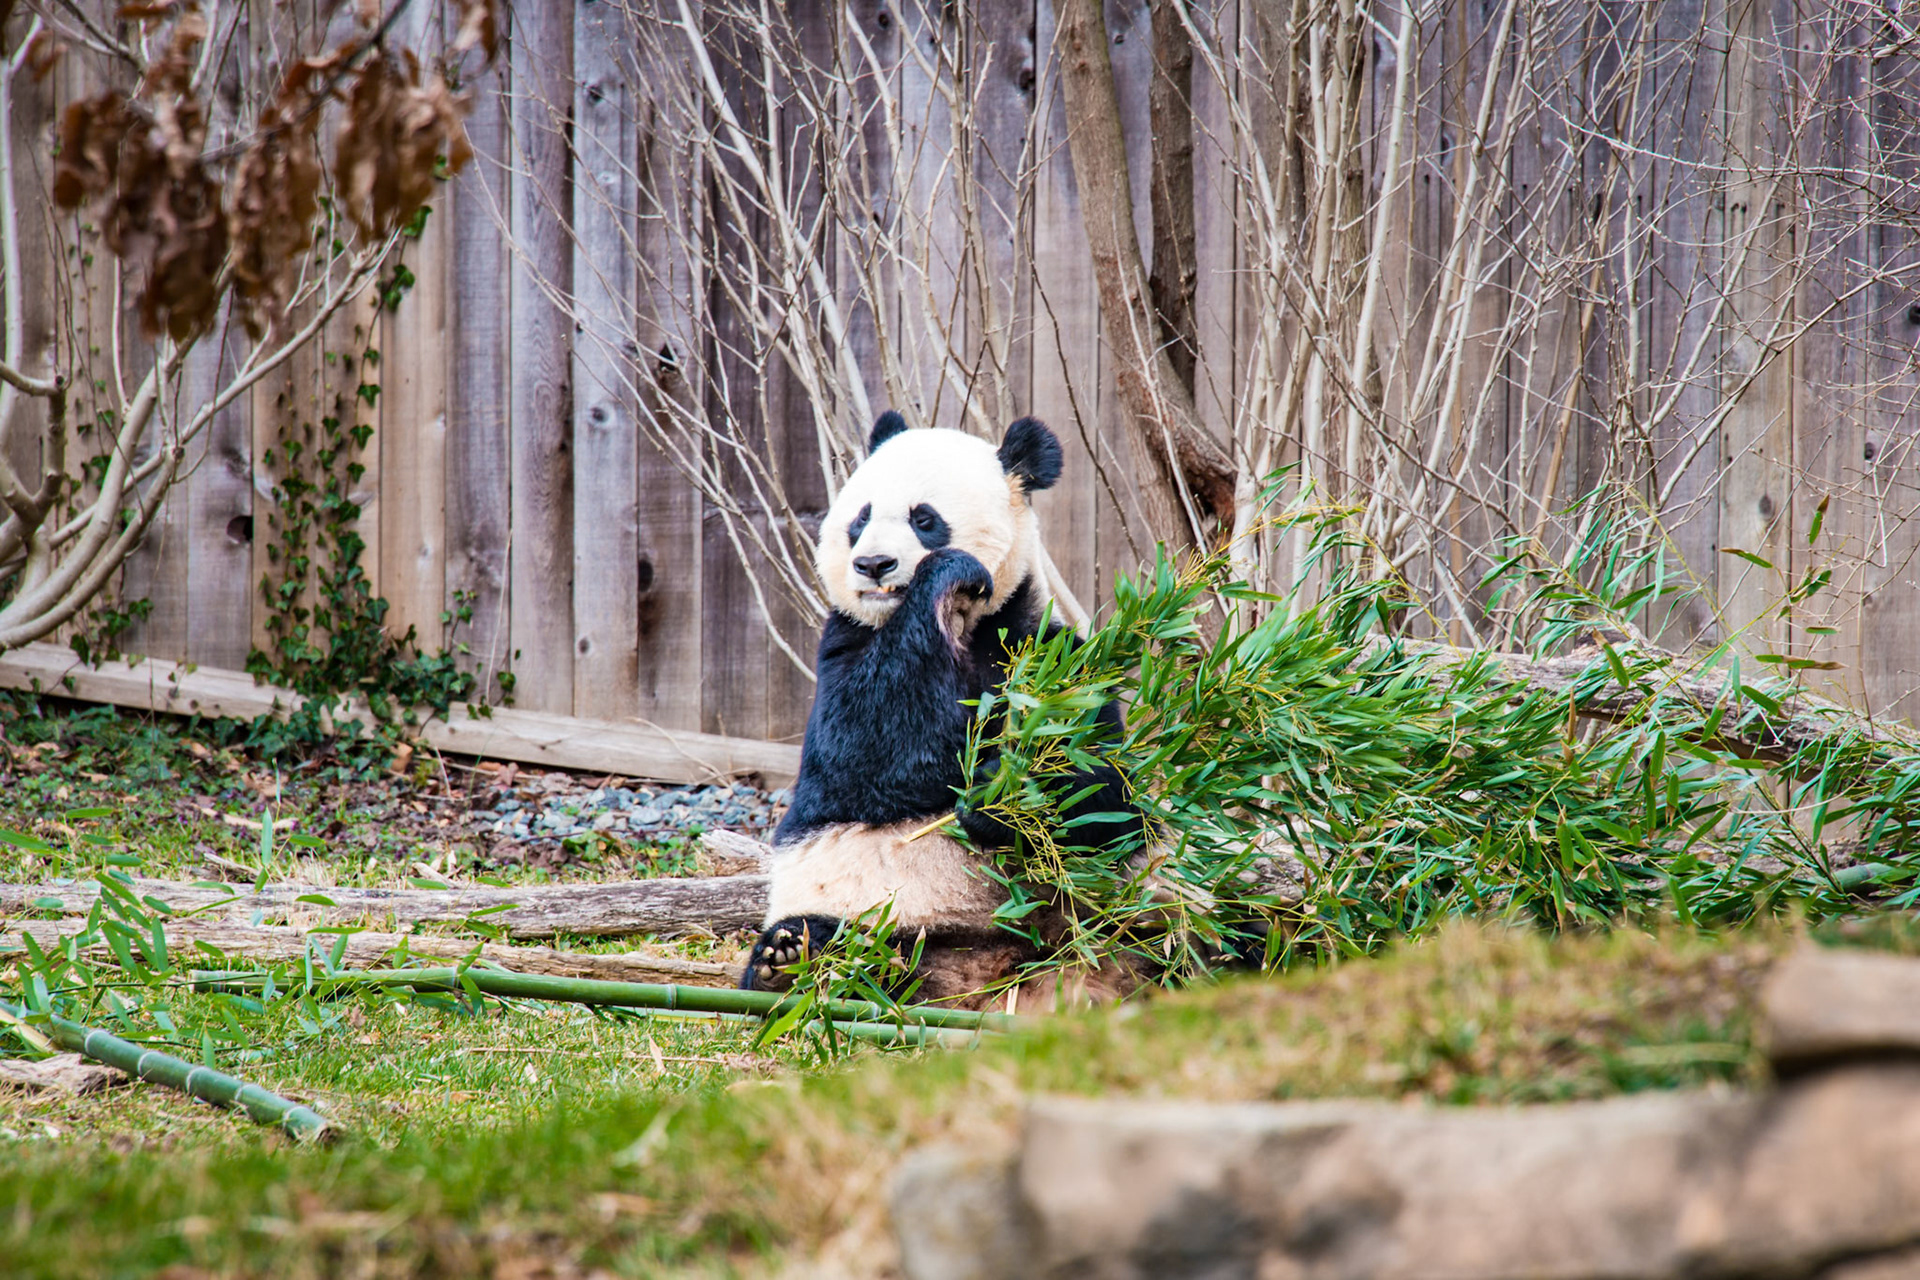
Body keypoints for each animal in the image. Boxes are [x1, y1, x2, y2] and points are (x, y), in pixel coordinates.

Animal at [741, 410, 1139, 1007]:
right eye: (860, 518)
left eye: (924, 518)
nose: (872, 564)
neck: (961, 621)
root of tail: (980, 983)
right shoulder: (843, 647)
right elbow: (867, 746)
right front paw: (949, 572)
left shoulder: (1052, 656)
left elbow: (1105, 788)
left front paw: (1001, 797)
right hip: (876, 922)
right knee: (835, 944)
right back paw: (791, 961)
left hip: (1100, 913)